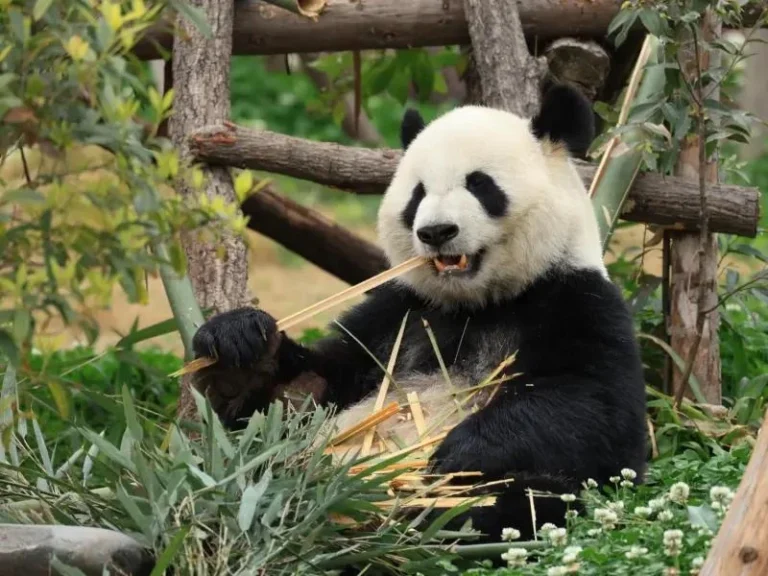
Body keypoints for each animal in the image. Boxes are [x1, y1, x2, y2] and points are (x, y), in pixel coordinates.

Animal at [190, 82, 648, 544]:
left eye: (480, 184)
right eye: (418, 194)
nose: (436, 232)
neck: (477, 304)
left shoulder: (578, 302)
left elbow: (592, 408)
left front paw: (458, 452)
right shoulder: (397, 313)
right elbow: (301, 395)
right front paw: (241, 353)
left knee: (526, 498)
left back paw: (423, 517)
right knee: (251, 468)